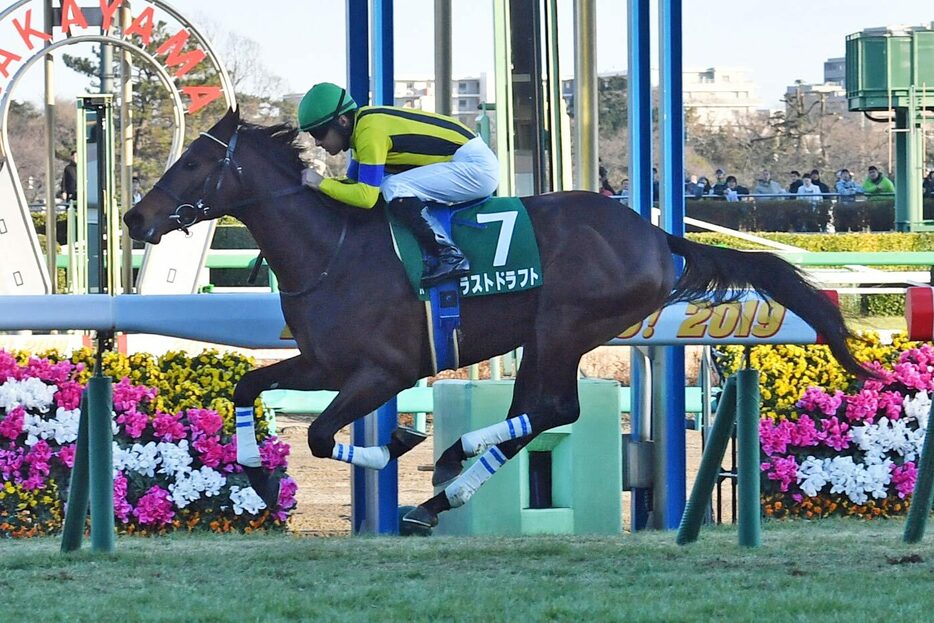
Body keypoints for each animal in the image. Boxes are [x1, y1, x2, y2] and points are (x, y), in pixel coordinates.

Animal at [122, 108, 872, 532]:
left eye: (193, 161)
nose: (133, 217)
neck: (330, 249)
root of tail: (657, 236)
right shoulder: (324, 361)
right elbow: (249, 386)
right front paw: (258, 475)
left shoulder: (383, 370)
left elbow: (322, 434)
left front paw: (398, 441)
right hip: (550, 335)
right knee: (534, 412)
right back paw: (442, 492)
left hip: (562, 327)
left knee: (554, 407)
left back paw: (452, 461)